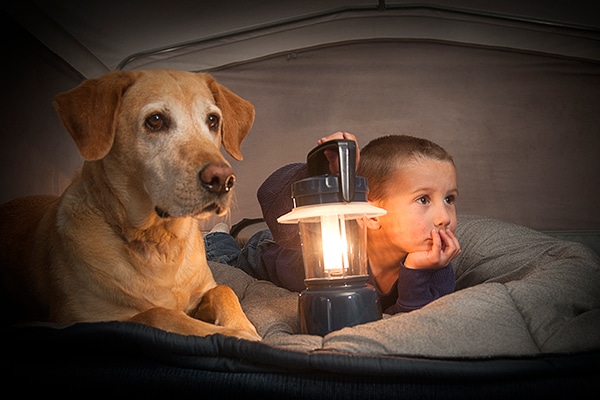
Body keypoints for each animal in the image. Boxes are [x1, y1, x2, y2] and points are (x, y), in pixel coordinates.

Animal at [1, 69, 262, 340]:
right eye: (155, 120)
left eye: (213, 120)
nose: (223, 180)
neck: (159, 242)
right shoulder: (80, 318)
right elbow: (158, 313)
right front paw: (238, 335)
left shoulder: (204, 289)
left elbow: (224, 290)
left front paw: (244, 327)